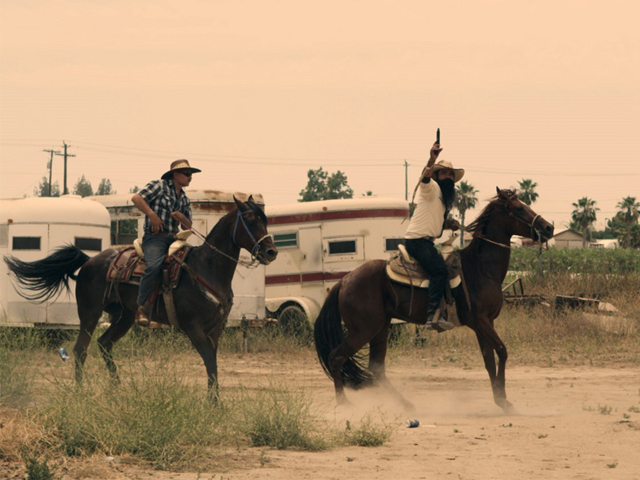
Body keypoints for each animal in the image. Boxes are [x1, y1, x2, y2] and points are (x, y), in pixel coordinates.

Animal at [4, 195, 278, 394]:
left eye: (265, 219)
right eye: (250, 220)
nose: (271, 252)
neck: (206, 268)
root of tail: (89, 261)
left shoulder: (215, 328)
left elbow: (214, 364)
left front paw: (215, 401)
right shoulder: (193, 327)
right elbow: (210, 361)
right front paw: (213, 402)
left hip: (124, 316)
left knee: (105, 344)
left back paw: (117, 389)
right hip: (89, 313)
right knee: (81, 349)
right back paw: (80, 391)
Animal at [316, 188, 556, 412]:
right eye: (519, 209)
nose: (548, 228)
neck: (480, 268)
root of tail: (343, 282)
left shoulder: (484, 324)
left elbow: (489, 360)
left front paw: (499, 399)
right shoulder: (481, 321)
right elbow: (502, 352)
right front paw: (504, 401)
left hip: (381, 327)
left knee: (376, 367)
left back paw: (406, 404)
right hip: (364, 329)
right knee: (336, 357)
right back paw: (344, 403)